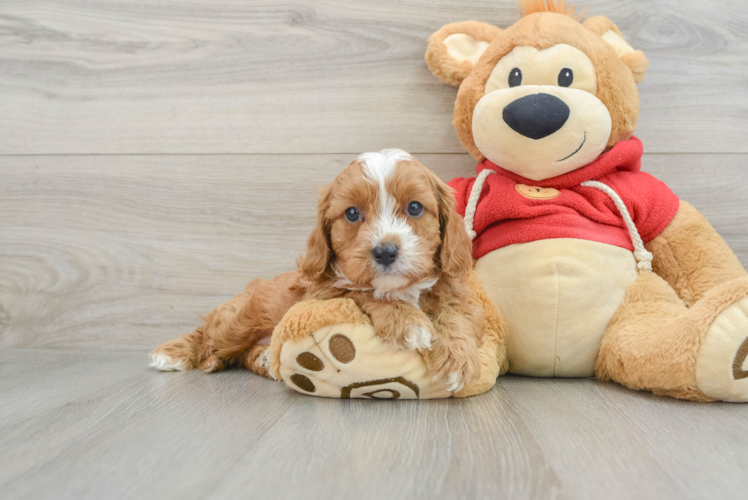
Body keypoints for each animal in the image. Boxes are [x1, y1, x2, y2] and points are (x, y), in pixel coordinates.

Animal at [150, 148, 486, 390]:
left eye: (415, 207)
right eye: (352, 213)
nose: (385, 251)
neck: (402, 288)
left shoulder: (454, 293)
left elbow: (456, 316)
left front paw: (456, 359)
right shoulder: (322, 294)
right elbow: (362, 291)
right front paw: (408, 322)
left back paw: (265, 358)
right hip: (237, 321)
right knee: (208, 332)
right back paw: (176, 354)